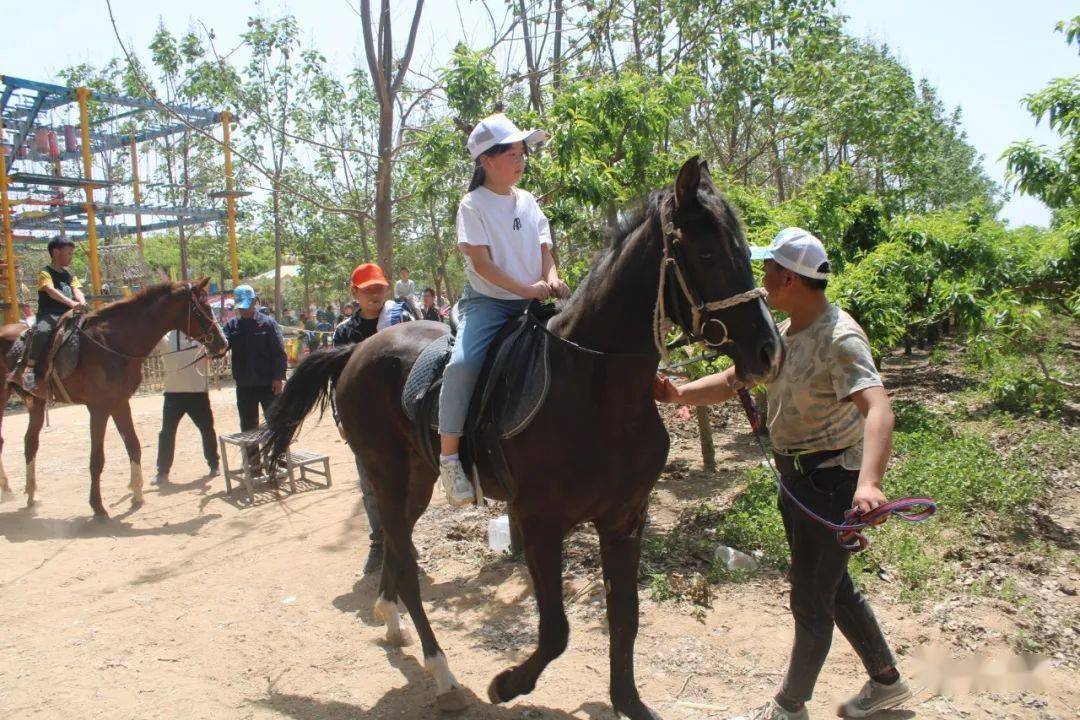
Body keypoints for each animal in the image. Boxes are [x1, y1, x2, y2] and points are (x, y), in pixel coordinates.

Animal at [0, 276, 225, 518]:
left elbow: (134, 445)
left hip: (37, 401)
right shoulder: (98, 408)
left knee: (30, 442)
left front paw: (137, 495)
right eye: (206, 307)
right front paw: (98, 507)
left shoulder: (120, 403)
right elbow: (97, 458)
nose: (223, 343)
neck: (113, 344)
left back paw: (29, 495)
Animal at [261, 158, 786, 720]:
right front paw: (507, 684)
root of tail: (356, 350)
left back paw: (391, 617)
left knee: (399, 549)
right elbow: (556, 631)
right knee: (403, 556)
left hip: (416, 476)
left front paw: (629, 701)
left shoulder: (625, 518)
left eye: (743, 249)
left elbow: (626, 618)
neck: (595, 386)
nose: (768, 352)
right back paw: (442, 672)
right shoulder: (538, 521)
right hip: (384, 470)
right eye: (708, 253)